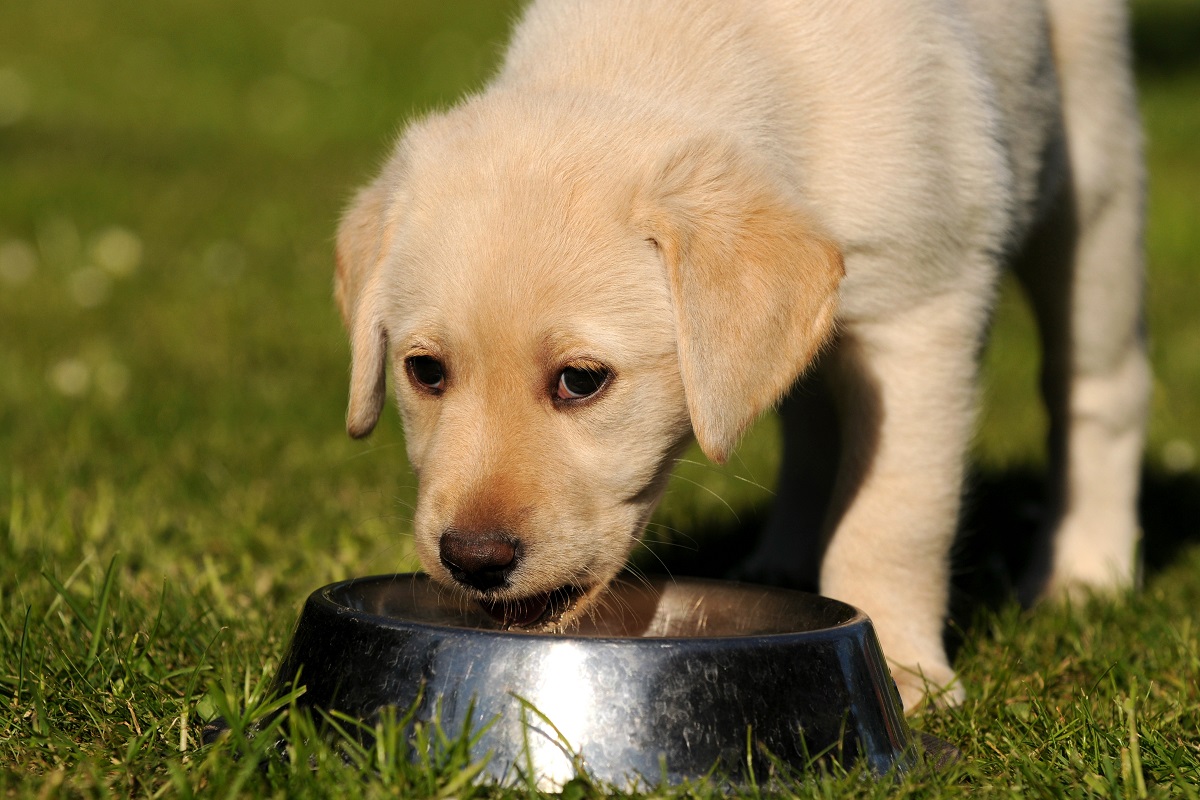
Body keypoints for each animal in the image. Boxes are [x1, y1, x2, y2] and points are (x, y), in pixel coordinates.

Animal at [333, 0, 1147, 714]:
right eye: (425, 371)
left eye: (581, 381)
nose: (473, 559)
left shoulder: (919, 314)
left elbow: (894, 515)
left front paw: (904, 670)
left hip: (1095, 187)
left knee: (1099, 389)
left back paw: (1086, 572)